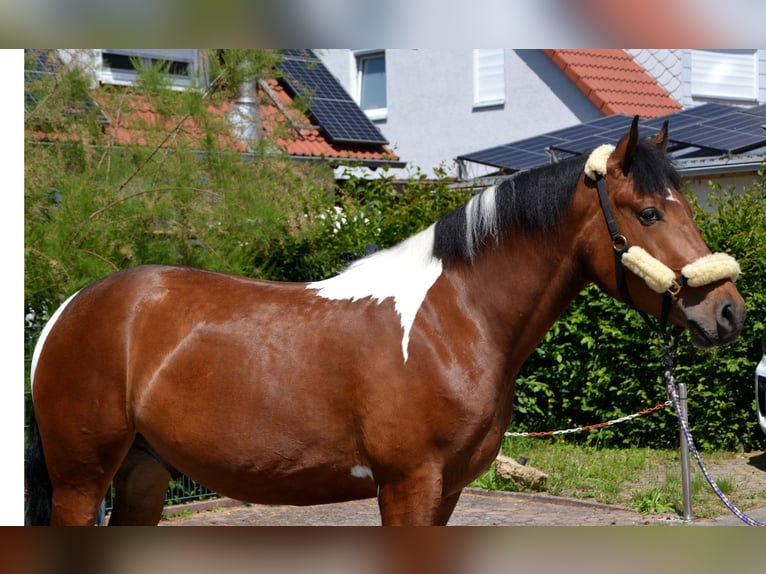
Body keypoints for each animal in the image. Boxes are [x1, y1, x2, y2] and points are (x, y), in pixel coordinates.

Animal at [26, 118, 746, 525]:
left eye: (687, 206)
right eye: (648, 212)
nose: (728, 309)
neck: (451, 322)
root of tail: (69, 309)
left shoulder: (445, 493)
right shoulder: (407, 487)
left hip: (142, 475)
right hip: (80, 480)